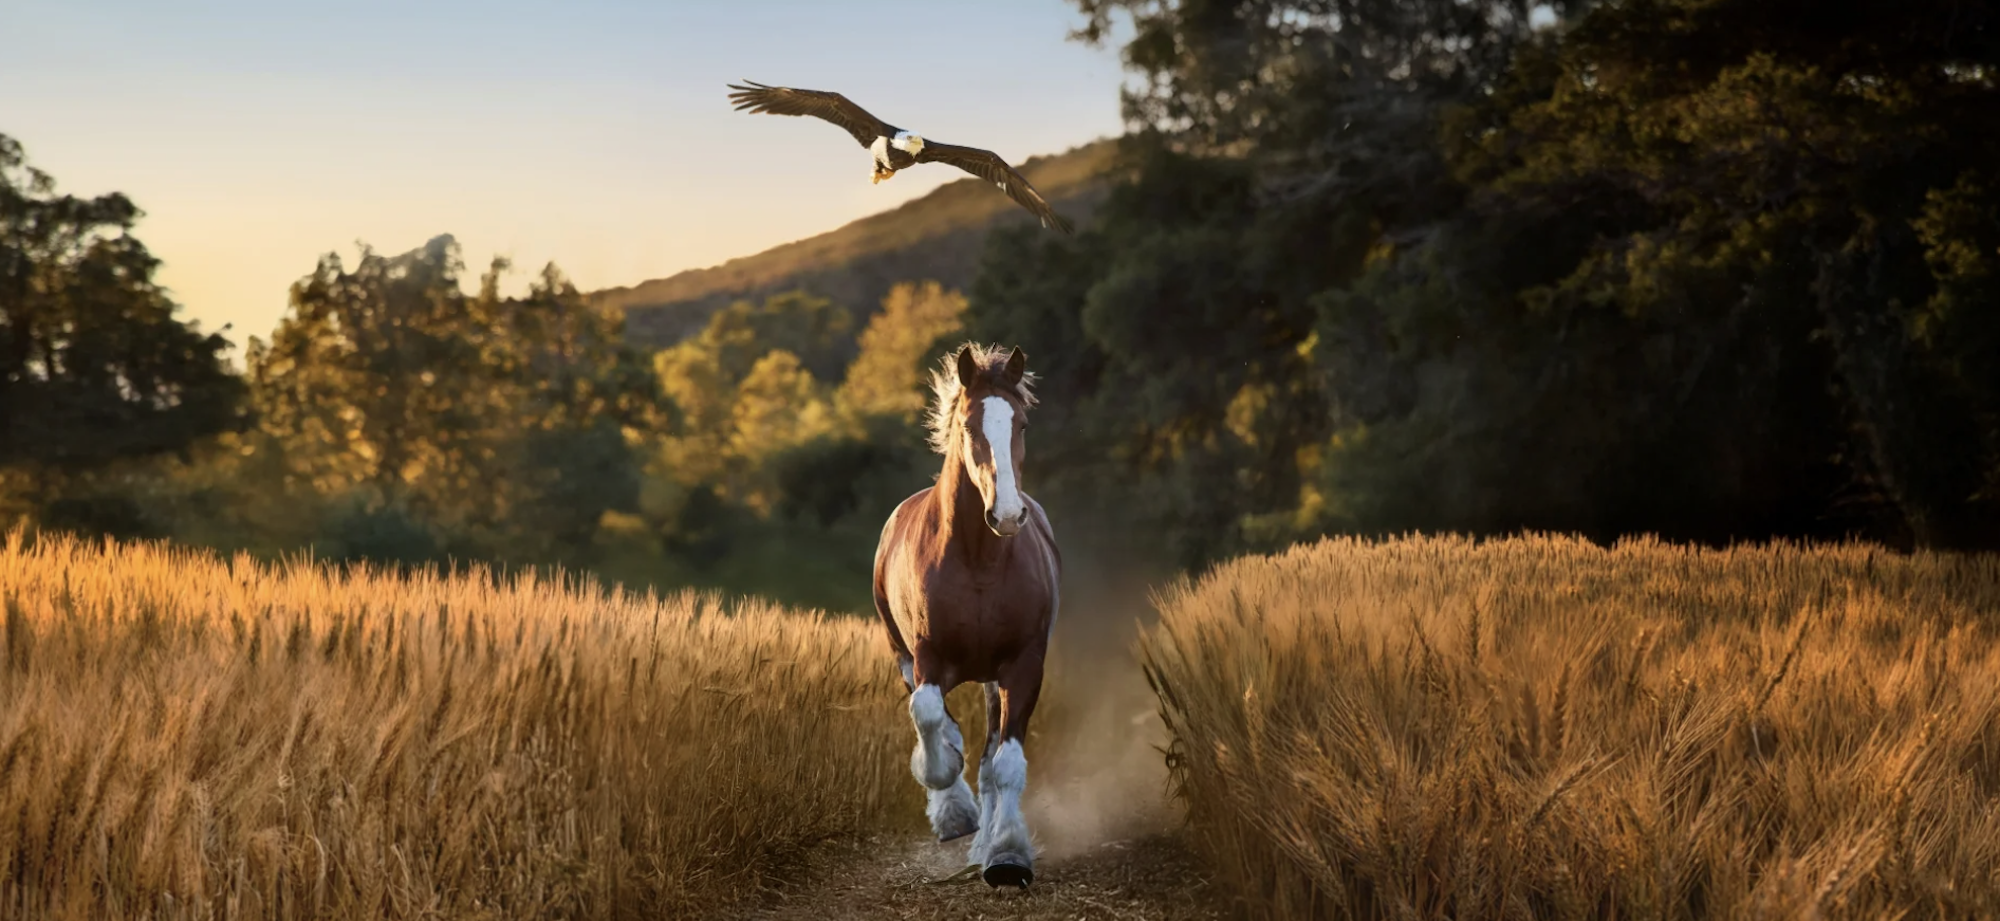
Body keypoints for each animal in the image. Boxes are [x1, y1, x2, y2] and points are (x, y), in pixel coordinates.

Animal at [871, 342, 1061, 889]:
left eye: (1021, 423)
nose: (1007, 515)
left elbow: (1006, 762)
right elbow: (929, 716)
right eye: (968, 425)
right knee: (936, 717)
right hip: (904, 656)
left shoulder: (1023, 665)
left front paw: (1008, 854)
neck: (979, 558)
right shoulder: (927, 658)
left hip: (992, 679)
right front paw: (952, 807)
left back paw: (986, 843)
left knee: (991, 754)